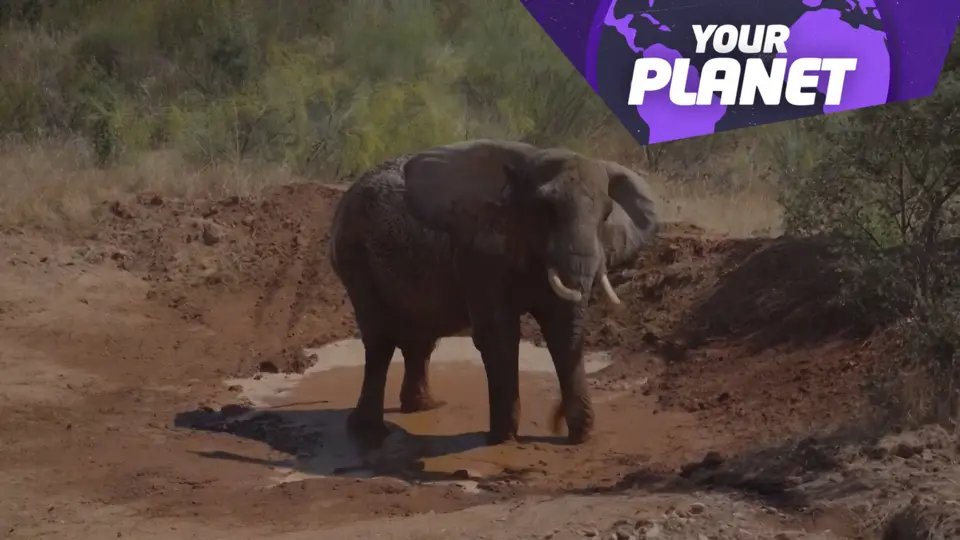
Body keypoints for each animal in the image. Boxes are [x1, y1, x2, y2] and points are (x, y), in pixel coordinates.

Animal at [328, 139, 659, 445]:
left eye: (606, 215)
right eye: (546, 208)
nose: (554, 423)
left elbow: (562, 330)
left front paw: (578, 437)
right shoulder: (479, 251)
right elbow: (498, 334)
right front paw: (502, 439)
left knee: (420, 338)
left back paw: (423, 407)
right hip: (354, 254)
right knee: (379, 341)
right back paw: (368, 431)